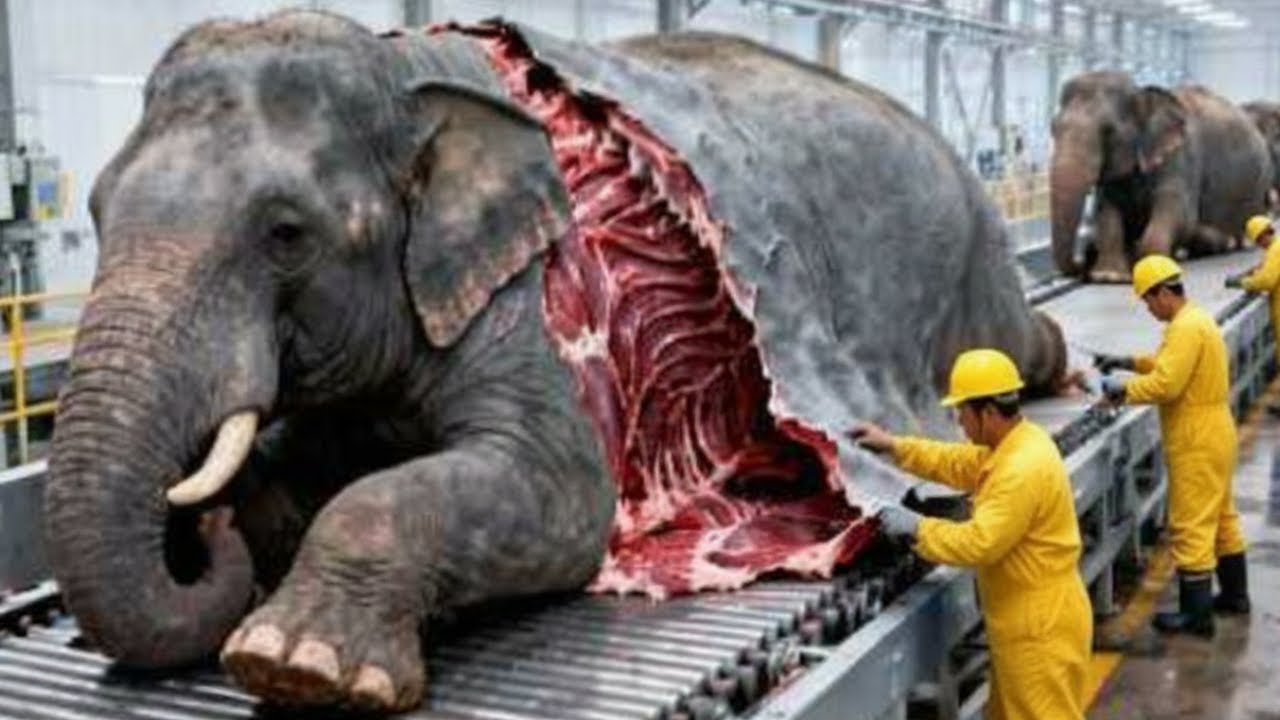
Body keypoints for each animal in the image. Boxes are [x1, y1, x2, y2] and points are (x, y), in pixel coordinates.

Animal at [44, 10, 1071, 714]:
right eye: (92, 210)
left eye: (286, 234)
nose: (199, 532)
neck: (409, 69)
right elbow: (298, 470)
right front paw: (246, 524)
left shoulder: (534, 296)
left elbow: (565, 498)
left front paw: (300, 666)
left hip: (972, 268)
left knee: (1016, 342)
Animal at [1050, 71, 1272, 282]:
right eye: (1053, 129)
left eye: (1108, 131)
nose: (1083, 262)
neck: (1143, 94)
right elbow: (1107, 211)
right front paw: (1108, 276)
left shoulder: (1181, 156)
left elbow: (1178, 211)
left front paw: (1153, 266)